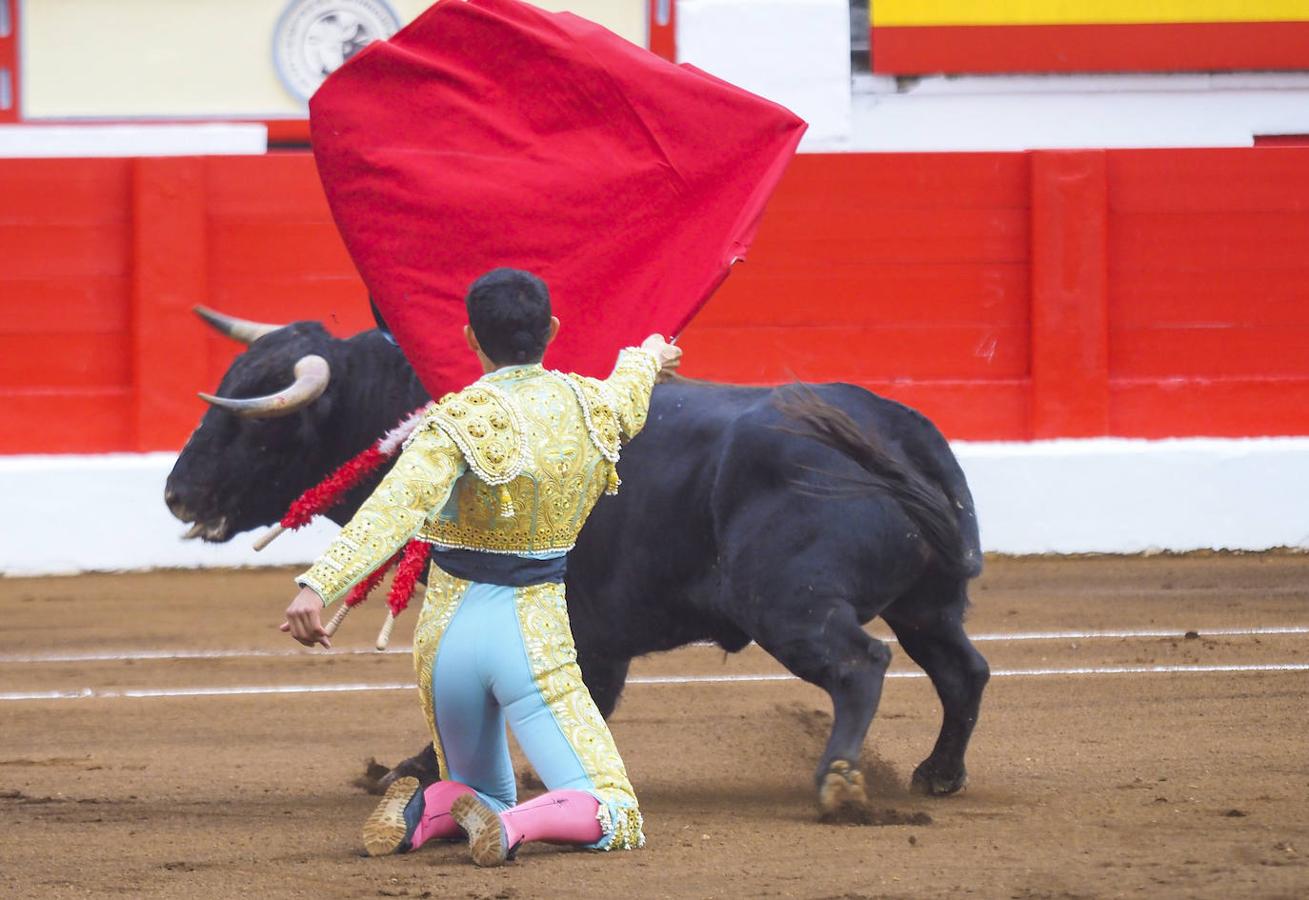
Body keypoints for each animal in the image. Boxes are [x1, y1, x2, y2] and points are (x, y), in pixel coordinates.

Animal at [163, 320, 984, 821]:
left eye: (253, 425)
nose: (175, 493)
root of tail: (891, 429)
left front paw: (415, 771)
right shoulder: (598, 632)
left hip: (790, 606)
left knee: (860, 664)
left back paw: (839, 781)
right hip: (927, 605)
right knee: (961, 670)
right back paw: (937, 773)